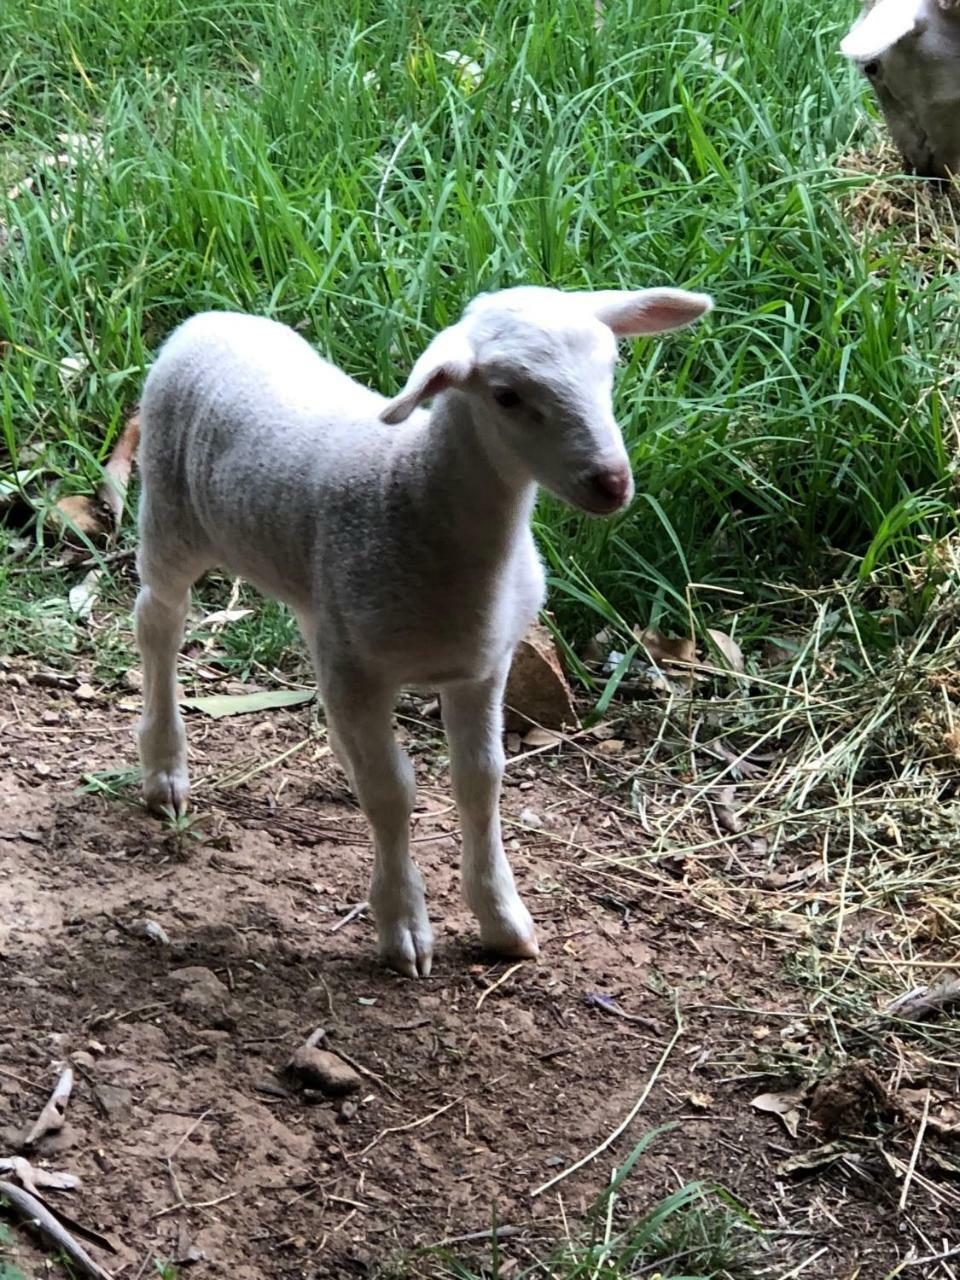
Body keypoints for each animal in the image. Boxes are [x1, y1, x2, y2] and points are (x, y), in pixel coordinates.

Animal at [131, 285, 711, 972]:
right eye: (506, 395)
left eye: (611, 367)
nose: (612, 483)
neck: (406, 484)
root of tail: (207, 320)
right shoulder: (361, 672)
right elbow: (391, 791)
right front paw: (404, 924)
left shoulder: (483, 666)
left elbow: (481, 780)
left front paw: (502, 919)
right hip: (170, 516)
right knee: (158, 622)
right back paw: (165, 769)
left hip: (315, 595)